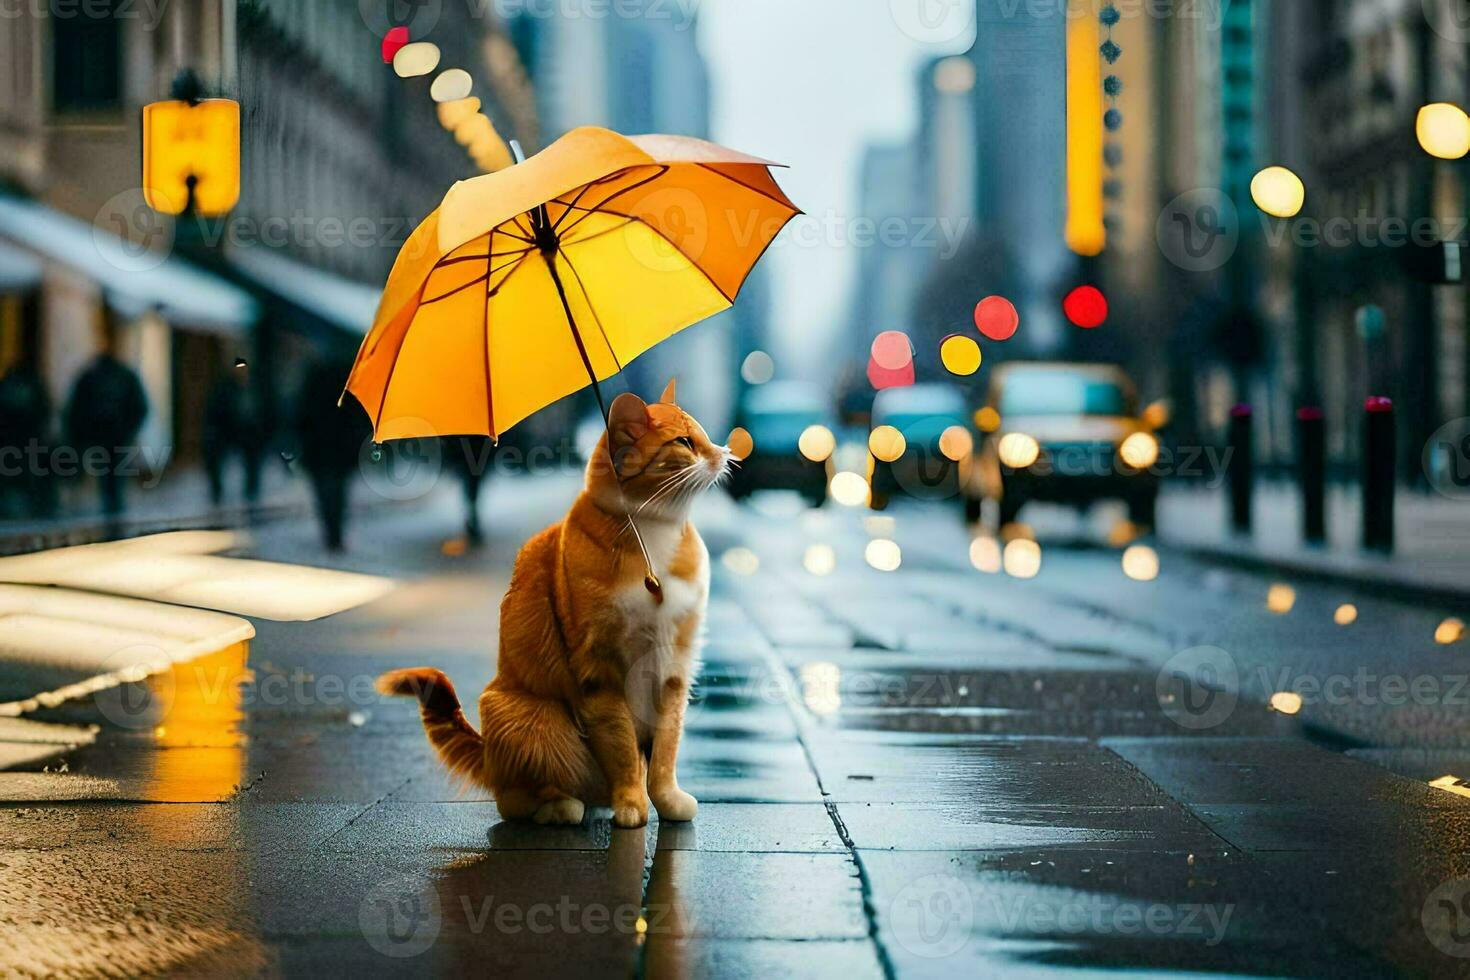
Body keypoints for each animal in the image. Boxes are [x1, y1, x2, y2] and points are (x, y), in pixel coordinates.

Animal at [376, 382, 726, 828]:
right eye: (684, 442)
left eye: (704, 436)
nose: (724, 451)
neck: (652, 536)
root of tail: (488, 757)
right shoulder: (600, 673)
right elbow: (623, 747)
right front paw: (632, 804)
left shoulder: (675, 669)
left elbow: (665, 749)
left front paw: (666, 800)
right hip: (531, 716)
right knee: (516, 798)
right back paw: (561, 807)